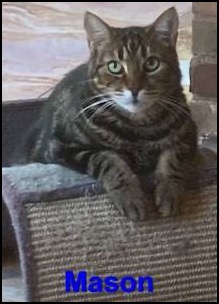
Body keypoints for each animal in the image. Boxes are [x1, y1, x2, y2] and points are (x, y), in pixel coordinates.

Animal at [18, 7, 198, 221]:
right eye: (114, 66)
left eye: (152, 63)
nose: (134, 89)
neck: (139, 127)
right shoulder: (62, 147)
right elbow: (108, 159)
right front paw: (130, 197)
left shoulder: (188, 133)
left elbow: (173, 159)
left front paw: (169, 192)